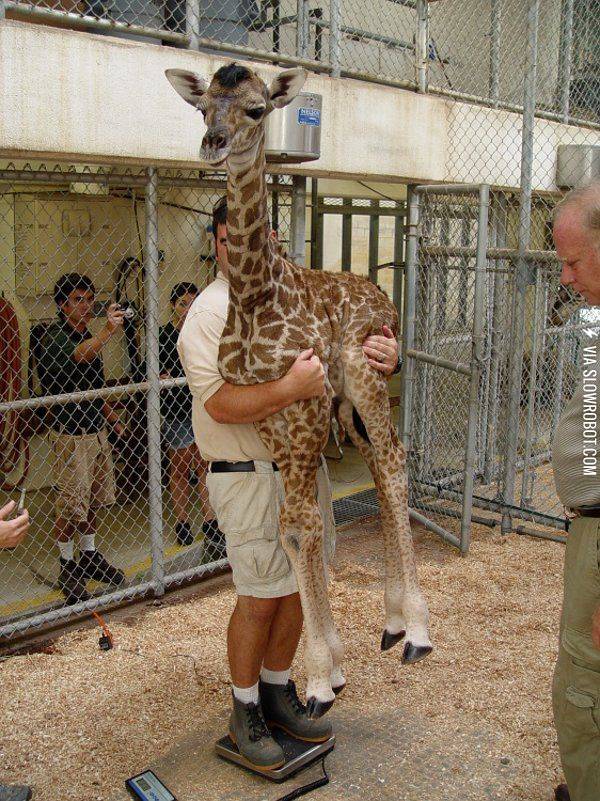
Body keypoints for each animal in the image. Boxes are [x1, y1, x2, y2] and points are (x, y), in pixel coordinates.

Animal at [166, 62, 432, 718]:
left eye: (257, 108)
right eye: (203, 106)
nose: (213, 143)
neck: (254, 297)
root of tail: (384, 298)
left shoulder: (306, 401)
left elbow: (305, 522)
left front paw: (315, 681)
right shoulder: (271, 415)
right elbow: (292, 525)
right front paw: (328, 669)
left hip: (363, 377)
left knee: (394, 464)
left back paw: (417, 630)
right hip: (348, 411)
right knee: (380, 467)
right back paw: (392, 623)